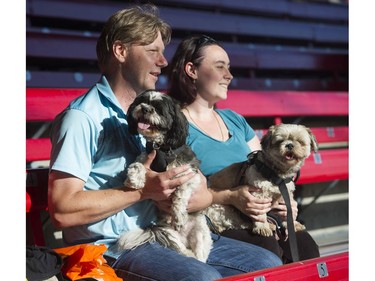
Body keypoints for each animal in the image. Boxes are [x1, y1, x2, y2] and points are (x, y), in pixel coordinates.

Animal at [117, 90, 212, 262]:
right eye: (141, 102)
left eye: (159, 108)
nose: (145, 109)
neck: (161, 149)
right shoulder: (145, 156)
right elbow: (137, 164)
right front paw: (134, 179)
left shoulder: (191, 175)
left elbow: (180, 193)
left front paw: (178, 215)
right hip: (166, 232)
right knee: (181, 249)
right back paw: (188, 255)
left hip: (200, 231)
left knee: (200, 255)